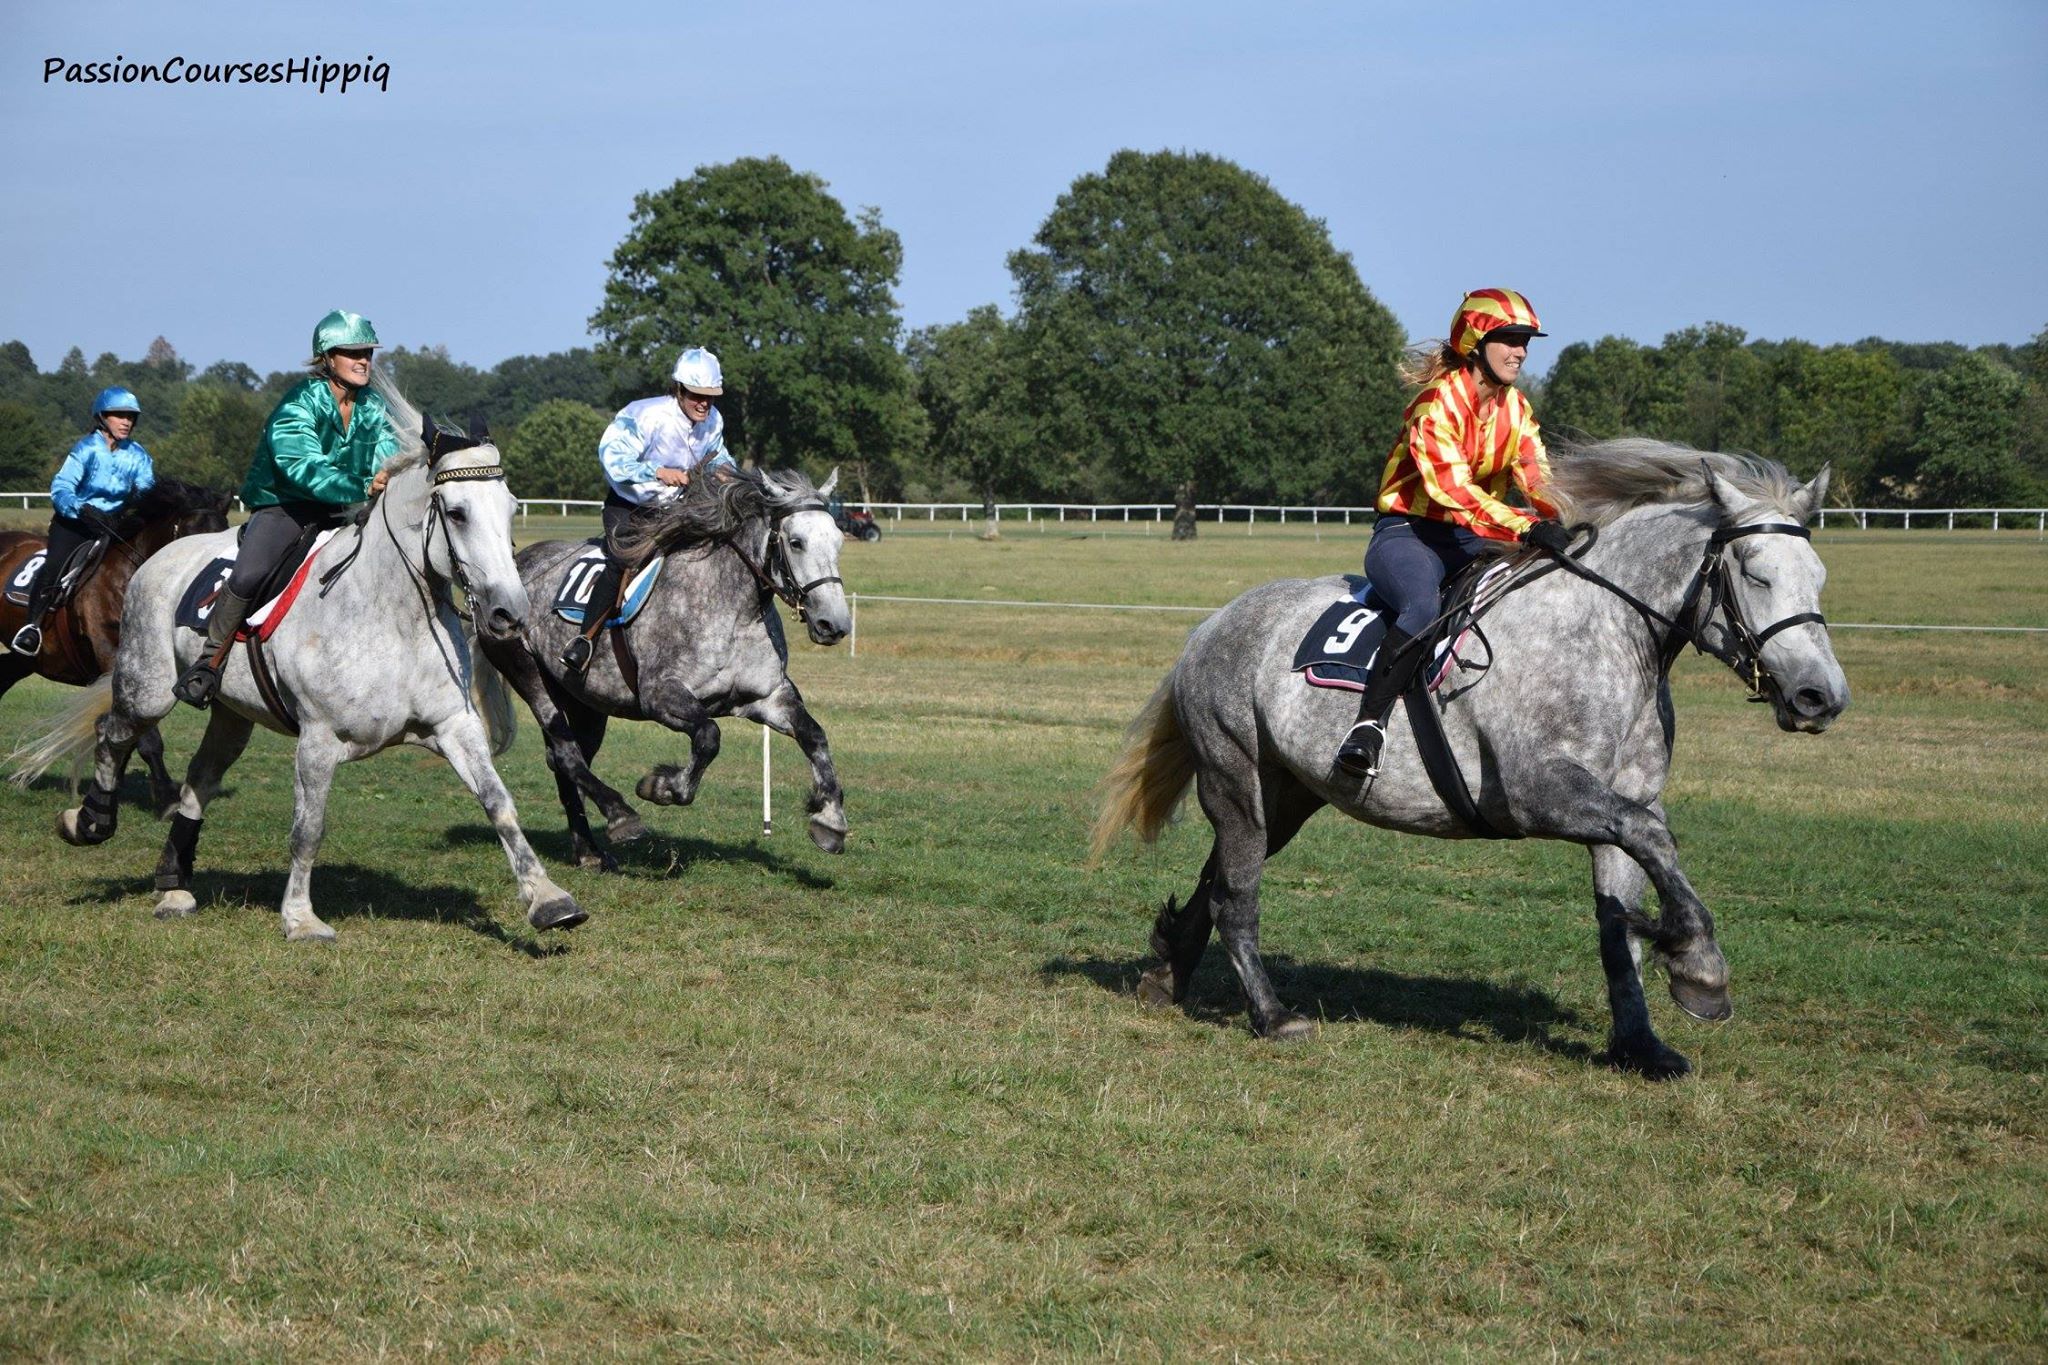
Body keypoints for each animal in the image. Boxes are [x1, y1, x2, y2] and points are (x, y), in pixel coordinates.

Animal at [483, 470, 851, 875]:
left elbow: (814, 735)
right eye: (796, 542)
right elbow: (708, 736)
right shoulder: (660, 697)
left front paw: (830, 820)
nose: (833, 624)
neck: (735, 610)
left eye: (838, 540)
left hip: (586, 703)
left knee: (569, 760)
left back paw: (588, 851)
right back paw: (620, 816)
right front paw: (662, 787)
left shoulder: (766, 698)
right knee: (566, 754)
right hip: (530, 676)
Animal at [1097, 437, 1851, 1080]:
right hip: (1238, 782)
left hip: (1287, 797)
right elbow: (1656, 843)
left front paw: (1640, 1041)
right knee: (1237, 896)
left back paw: (1167, 973)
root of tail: (1210, 625)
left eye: (1819, 575)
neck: (1605, 635)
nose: (1821, 696)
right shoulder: (1537, 793)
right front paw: (1700, 967)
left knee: (1218, 879)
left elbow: (1623, 921)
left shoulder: (1623, 803)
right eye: (1756, 575)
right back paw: (1272, 1014)